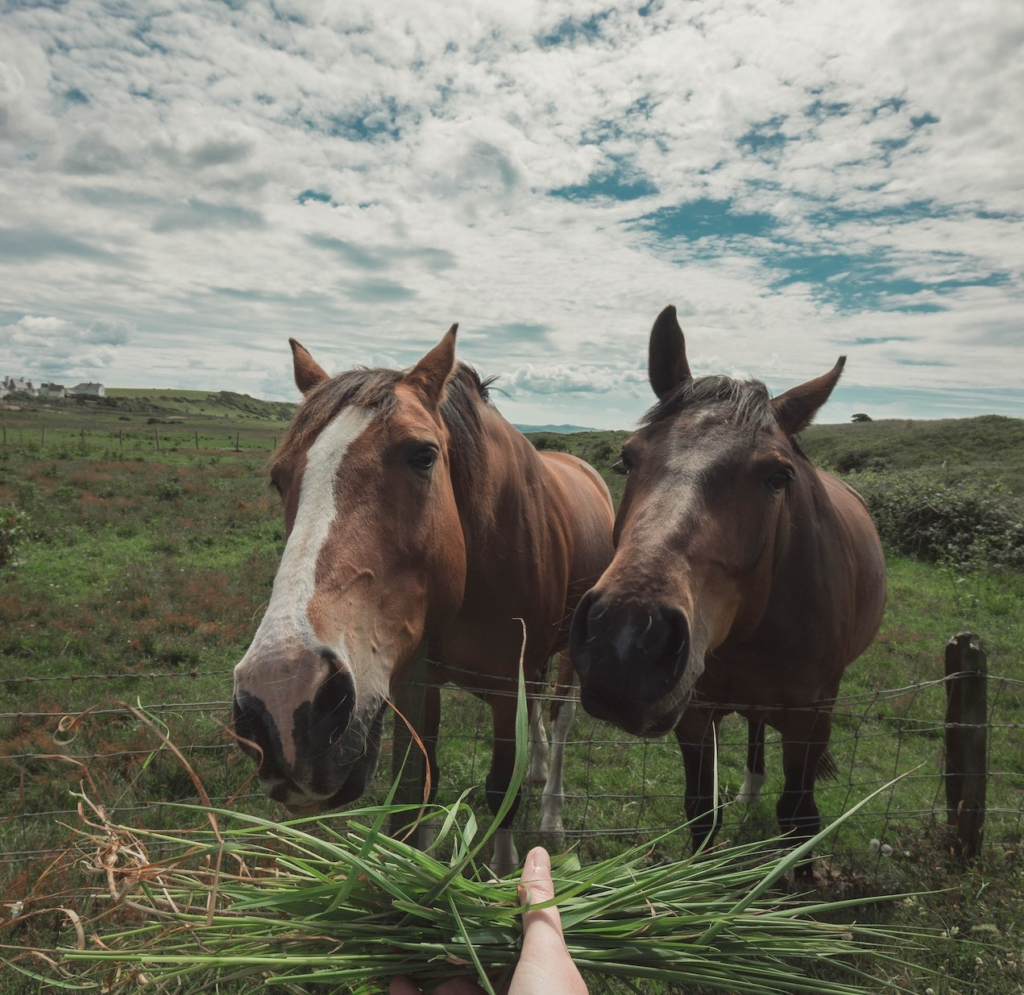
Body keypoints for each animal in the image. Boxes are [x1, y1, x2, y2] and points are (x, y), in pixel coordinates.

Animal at [232, 324, 615, 874]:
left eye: (423, 455)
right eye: (279, 478)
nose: (282, 702)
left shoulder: (508, 688)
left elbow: (501, 790)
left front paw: (503, 870)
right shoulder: (422, 682)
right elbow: (423, 786)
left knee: (561, 720)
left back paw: (552, 811)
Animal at [570, 305, 886, 873]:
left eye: (779, 477)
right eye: (627, 459)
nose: (626, 641)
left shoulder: (810, 720)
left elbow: (799, 818)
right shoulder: (695, 717)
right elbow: (702, 812)